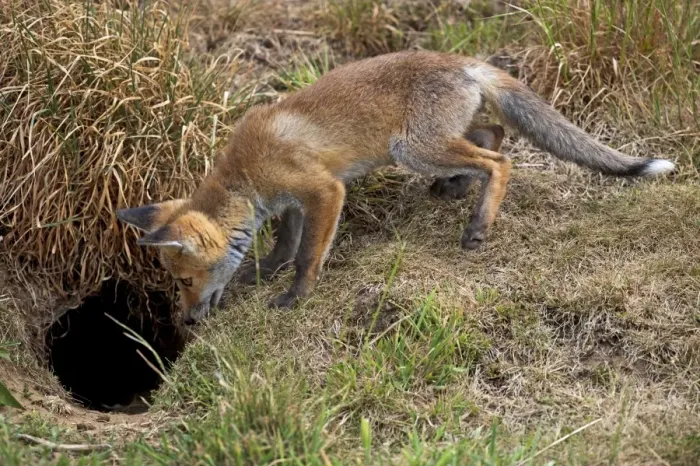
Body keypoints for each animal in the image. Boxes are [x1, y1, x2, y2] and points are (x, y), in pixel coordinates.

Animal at [116, 51, 675, 325]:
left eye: (184, 282)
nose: (187, 322)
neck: (246, 176)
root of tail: (460, 59)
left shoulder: (323, 191)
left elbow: (306, 255)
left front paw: (294, 296)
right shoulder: (294, 201)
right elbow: (283, 245)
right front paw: (265, 272)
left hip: (413, 148)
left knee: (500, 158)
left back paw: (478, 224)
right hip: (431, 142)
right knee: (494, 133)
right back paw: (455, 188)